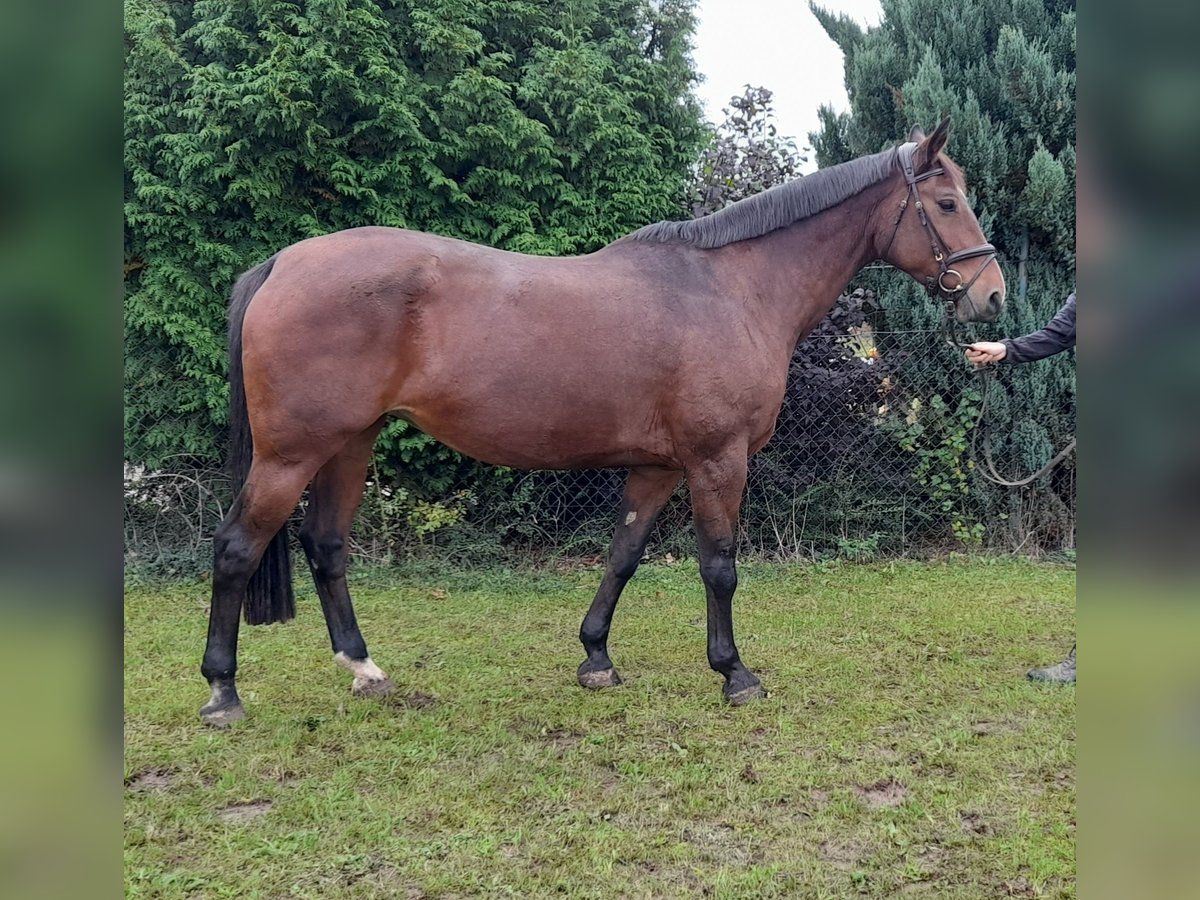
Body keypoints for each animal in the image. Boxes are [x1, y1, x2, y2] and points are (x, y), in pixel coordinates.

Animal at [199, 118, 1003, 724]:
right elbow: (719, 567)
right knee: (237, 547)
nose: (992, 296)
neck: (732, 288)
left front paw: (596, 658)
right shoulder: (718, 460)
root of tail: (281, 265)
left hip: (348, 445)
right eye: (948, 203)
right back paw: (222, 691)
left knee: (326, 545)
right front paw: (735, 673)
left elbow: (622, 557)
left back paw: (365, 670)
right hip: (292, 453)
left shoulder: (658, 466)